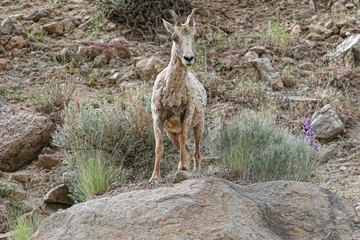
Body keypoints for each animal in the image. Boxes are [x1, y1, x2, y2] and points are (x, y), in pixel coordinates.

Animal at [149, 9, 205, 181]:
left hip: (199, 125)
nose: (188, 58)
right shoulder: (158, 117)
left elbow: (183, 139)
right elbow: (159, 146)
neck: (173, 97)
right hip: (171, 132)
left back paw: (196, 170)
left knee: (196, 151)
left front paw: (182, 166)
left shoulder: (187, 114)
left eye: (196, 36)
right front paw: (155, 176)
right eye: (174, 36)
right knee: (187, 149)